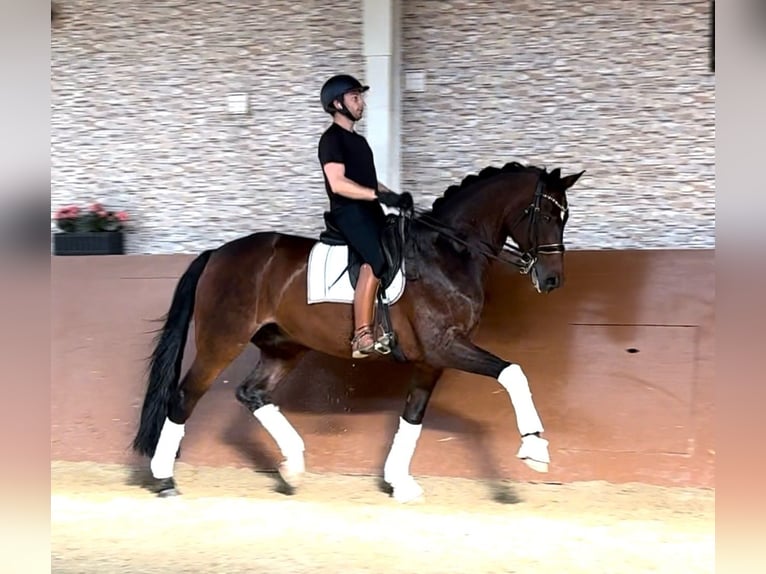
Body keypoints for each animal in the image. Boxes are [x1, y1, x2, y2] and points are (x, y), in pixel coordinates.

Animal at [134, 161, 588, 504]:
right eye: (547, 215)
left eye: (564, 216)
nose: (552, 280)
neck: (448, 253)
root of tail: (218, 254)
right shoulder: (445, 346)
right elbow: (512, 372)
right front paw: (535, 448)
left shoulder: (431, 359)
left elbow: (412, 416)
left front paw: (399, 482)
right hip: (222, 341)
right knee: (184, 396)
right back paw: (165, 479)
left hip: (283, 346)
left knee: (252, 394)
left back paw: (294, 466)